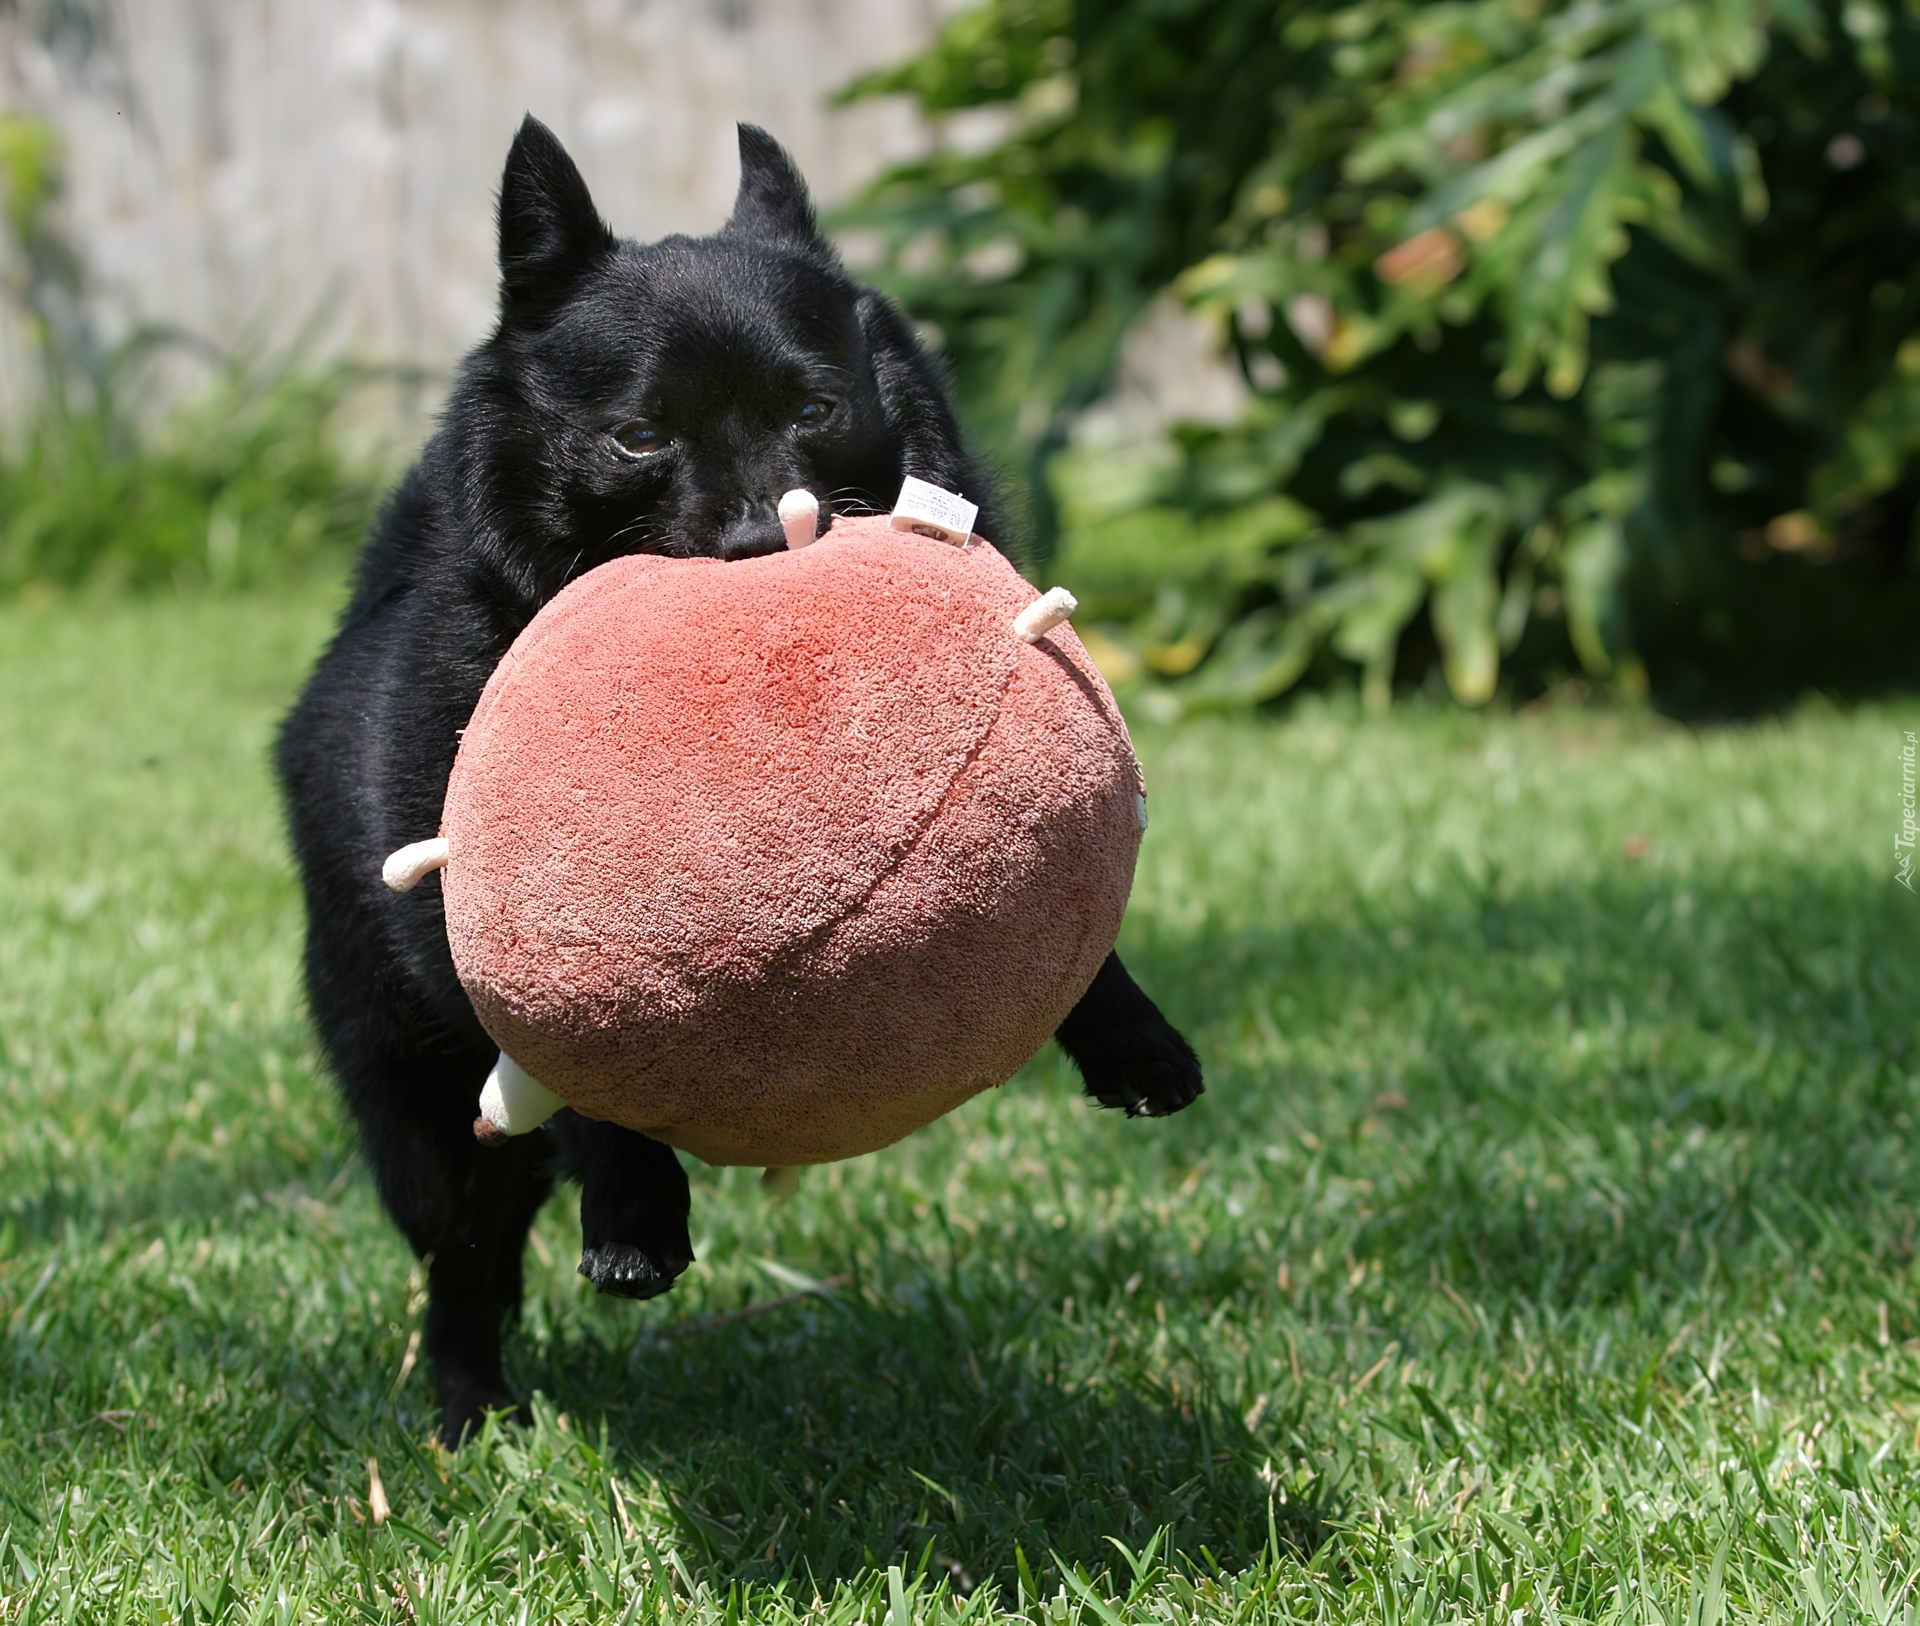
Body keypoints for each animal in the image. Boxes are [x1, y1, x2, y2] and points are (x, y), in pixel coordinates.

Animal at [274, 117, 1198, 1451]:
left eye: (816, 407)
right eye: (639, 437)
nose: (767, 540)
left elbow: (1079, 934)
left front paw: (1131, 1036)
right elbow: (586, 1062)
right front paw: (632, 1212)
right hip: (415, 1107)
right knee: (461, 1253)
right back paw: (472, 1408)